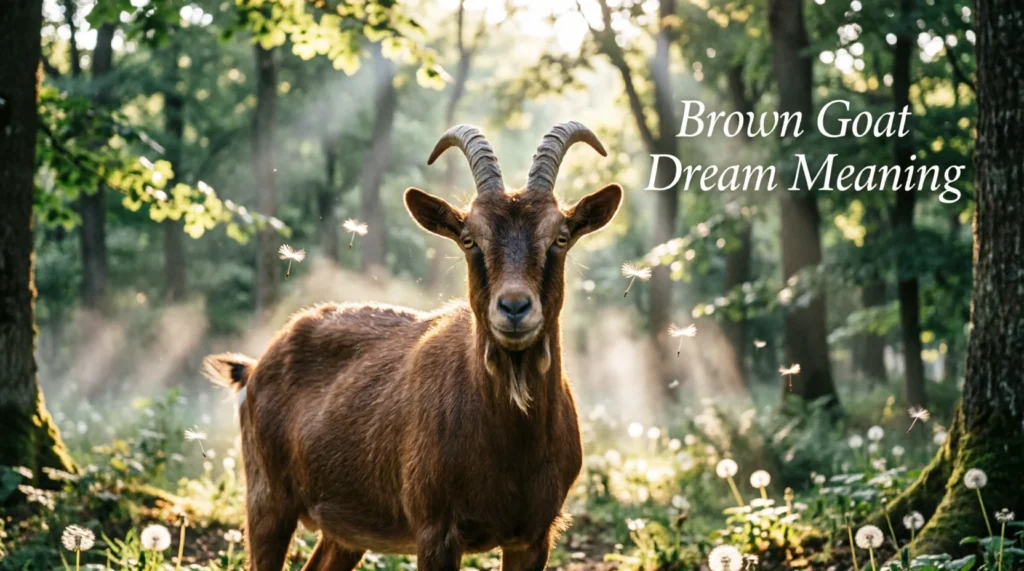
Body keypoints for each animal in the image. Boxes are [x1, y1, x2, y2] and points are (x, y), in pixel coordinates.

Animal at [203, 122, 622, 571]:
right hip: (266, 497)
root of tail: (255, 367)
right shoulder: (435, 528)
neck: (511, 443)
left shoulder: (533, 535)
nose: (513, 308)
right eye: (469, 239)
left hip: (345, 529)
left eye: (560, 237)